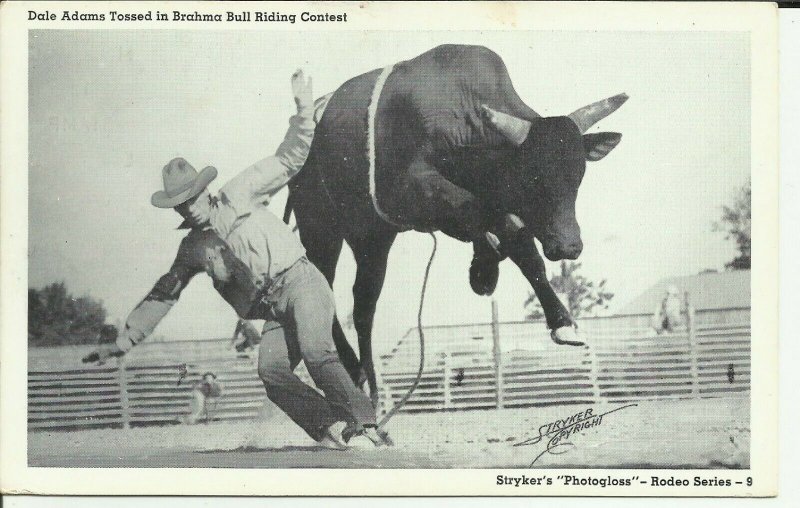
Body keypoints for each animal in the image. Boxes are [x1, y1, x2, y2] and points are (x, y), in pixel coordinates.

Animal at [290, 44, 628, 404]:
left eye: (579, 175)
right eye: (531, 176)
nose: (568, 245)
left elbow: (517, 244)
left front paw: (498, 278)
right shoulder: (417, 187)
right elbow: (497, 223)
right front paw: (488, 266)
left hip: (372, 236)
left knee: (363, 303)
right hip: (320, 227)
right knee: (332, 288)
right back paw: (359, 376)